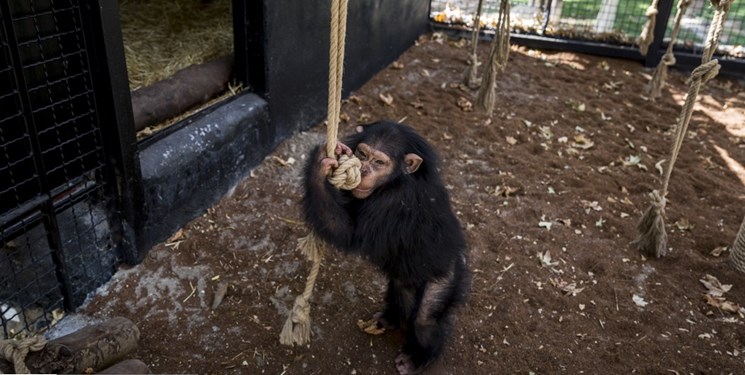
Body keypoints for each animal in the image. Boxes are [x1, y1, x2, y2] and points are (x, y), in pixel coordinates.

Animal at [300, 122, 464, 374]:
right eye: (362, 154)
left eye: (379, 162)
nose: (365, 171)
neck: (394, 181)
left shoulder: (394, 202)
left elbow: (348, 234)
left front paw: (318, 166)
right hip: (405, 278)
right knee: (402, 295)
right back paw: (391, 320)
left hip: (448, 275)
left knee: (425, 320)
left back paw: (418, 359)